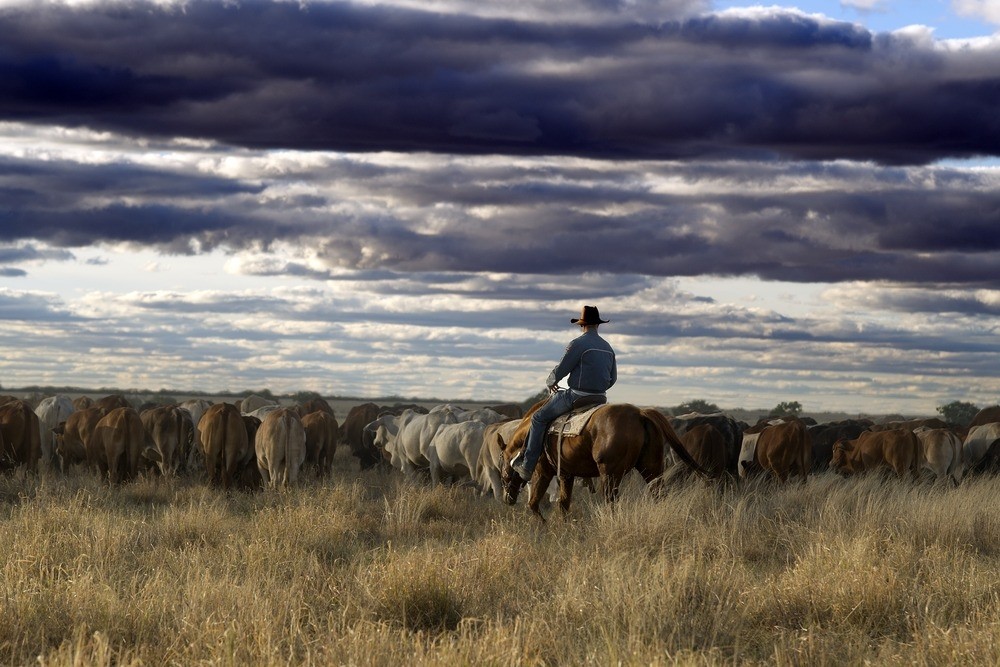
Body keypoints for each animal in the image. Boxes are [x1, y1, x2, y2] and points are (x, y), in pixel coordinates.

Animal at [498, 400, 704, 520]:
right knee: (658, 493)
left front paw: (544, 527)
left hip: (610, 474)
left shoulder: (543, 472)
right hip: (651, 468)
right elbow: (563, 503)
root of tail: (640, 413)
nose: (507, 499)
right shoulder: (566, 474)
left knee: (611, 501)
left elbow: (533, 504)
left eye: (503, 472)